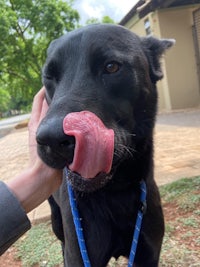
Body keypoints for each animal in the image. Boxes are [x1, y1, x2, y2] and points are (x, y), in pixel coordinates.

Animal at [36, 24, 173, 266]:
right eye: (49, 77)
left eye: (111, 67)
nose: (50, 139)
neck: (115, 192)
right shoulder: (79, 254)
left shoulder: (148, 253)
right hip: (57, 222)